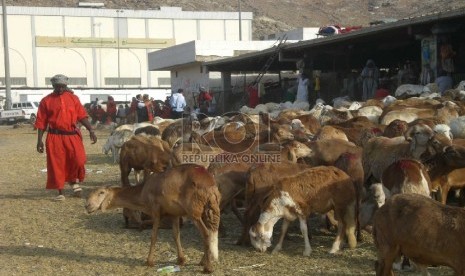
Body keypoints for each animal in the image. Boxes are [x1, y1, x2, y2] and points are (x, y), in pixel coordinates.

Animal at [86, 164, 221, 274]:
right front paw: (181, 259)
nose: (87, 206)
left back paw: (207, 267)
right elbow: (176, 235)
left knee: (206, 233)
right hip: (209, 209)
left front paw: (149, 261)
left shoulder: (156, 211)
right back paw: (204, 261)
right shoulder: (174, 214)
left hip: (194, 211)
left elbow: (153, 236)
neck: (141, 194)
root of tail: (210, 183)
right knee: (211, 232)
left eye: (101, 193)